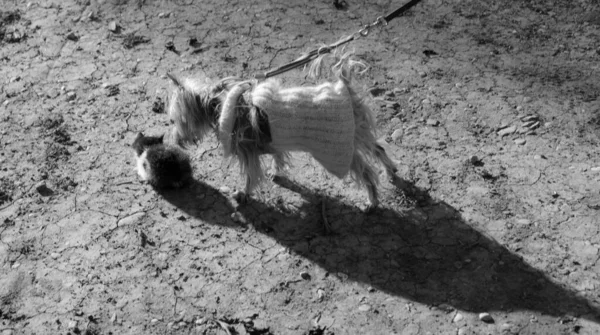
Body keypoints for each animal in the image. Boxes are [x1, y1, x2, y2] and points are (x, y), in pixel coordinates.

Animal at [166, 56, 396, 211]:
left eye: (178, 121)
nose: (176, 140)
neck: (221, 104)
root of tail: (345, 86)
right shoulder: (274, 142)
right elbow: (277, 156)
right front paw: (275, 171)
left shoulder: (248, 154)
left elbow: (250, 176)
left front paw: (243, 194)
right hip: (357, 132)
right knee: (378, 148)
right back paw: (391, 171)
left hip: (338, 147)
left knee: (367, 172)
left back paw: (372, 201)